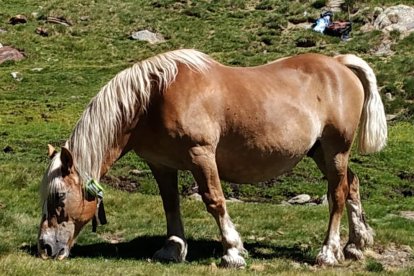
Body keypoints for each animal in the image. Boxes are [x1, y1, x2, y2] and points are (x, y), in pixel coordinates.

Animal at [37, 48, 386, 266]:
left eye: (59, 197)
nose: (45, 247)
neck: (153, 98)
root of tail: (339, 63)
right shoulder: (161, 164)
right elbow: (170, 204)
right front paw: (172, 248)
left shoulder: (201, 154)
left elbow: (214, 200)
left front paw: (232, 251)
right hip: (321, 153)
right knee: (352, 185)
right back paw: (356, 244)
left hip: (336, 149)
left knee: (337, 194)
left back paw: (328, 252)